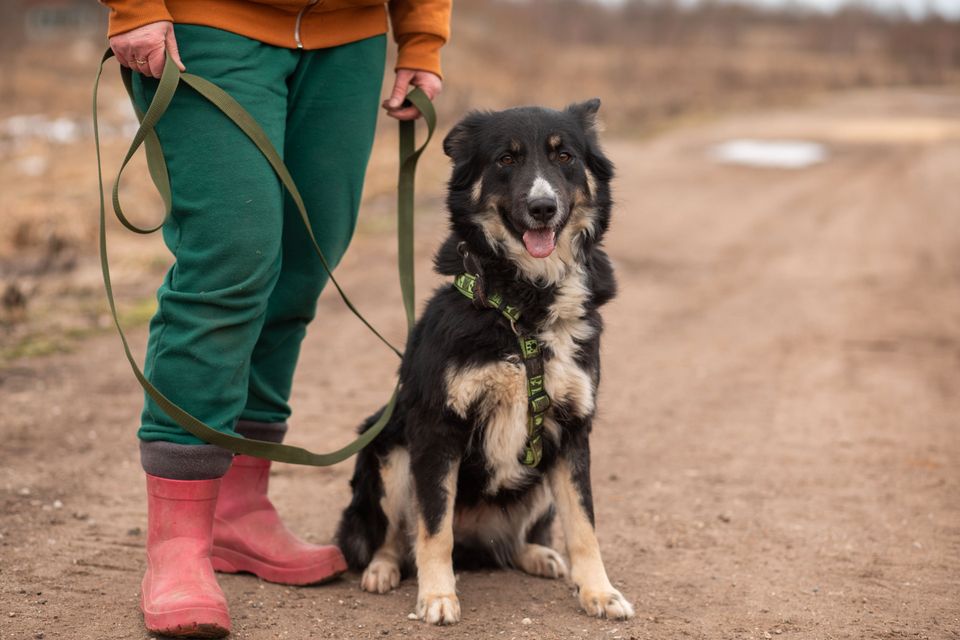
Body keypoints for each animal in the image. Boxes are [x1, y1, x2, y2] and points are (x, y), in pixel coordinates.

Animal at [334, 99, 632, 624]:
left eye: (565, 156)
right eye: (505, 160)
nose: (542, 208)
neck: (524, 304)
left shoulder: (572, 429)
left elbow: (584, 523)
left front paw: (599, 591)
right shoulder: (437, 428)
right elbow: (434, 527)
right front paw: (437, 596)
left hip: (537, 482)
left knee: (515, 540)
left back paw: (537, 554)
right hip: (389, 451)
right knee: (398, 535)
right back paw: (383, 569)